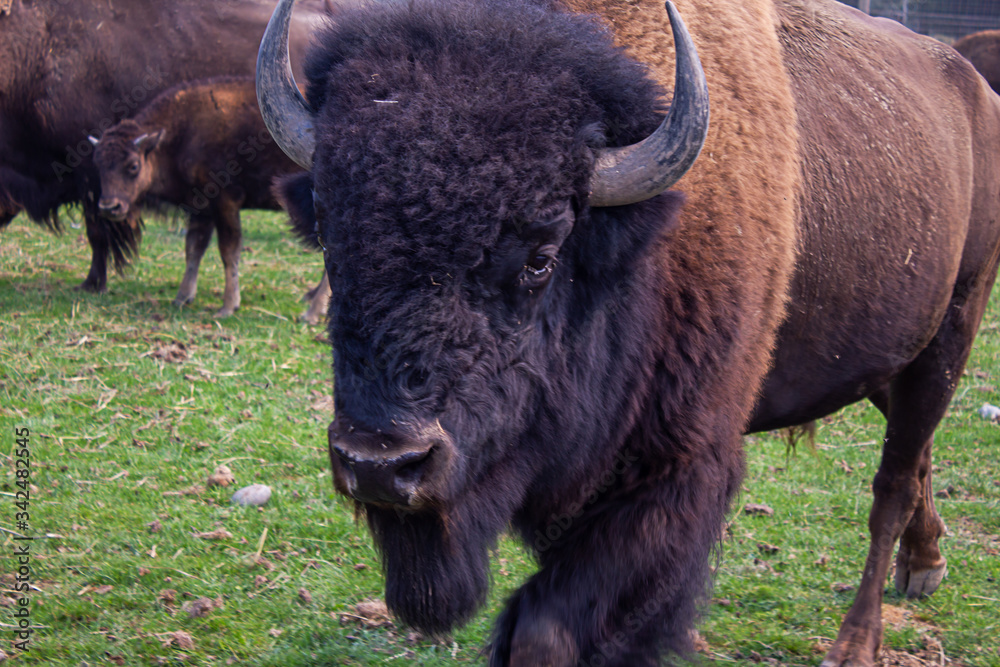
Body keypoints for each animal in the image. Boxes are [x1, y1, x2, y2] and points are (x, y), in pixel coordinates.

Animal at [91, 77, 324, 320]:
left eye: (133, 166)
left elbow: (228, 251)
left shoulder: (226, 202)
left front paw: (228, 306)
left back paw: (312, 313)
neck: (181, 132)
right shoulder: (201, 208)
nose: (109, 207)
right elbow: (193, 248)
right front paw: (181, 298)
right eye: (97, 163)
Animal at [260, 1, 1000, 667]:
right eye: (330, 236)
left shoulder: (674, 471)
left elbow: (546, 632)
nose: (380, 462)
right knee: (914, 457)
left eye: (540, 256)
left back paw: (856, 641)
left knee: (893, 483)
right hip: (886, 359)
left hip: (947, 340)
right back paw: (924, 566)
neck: (639, 248)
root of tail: (974, 90)